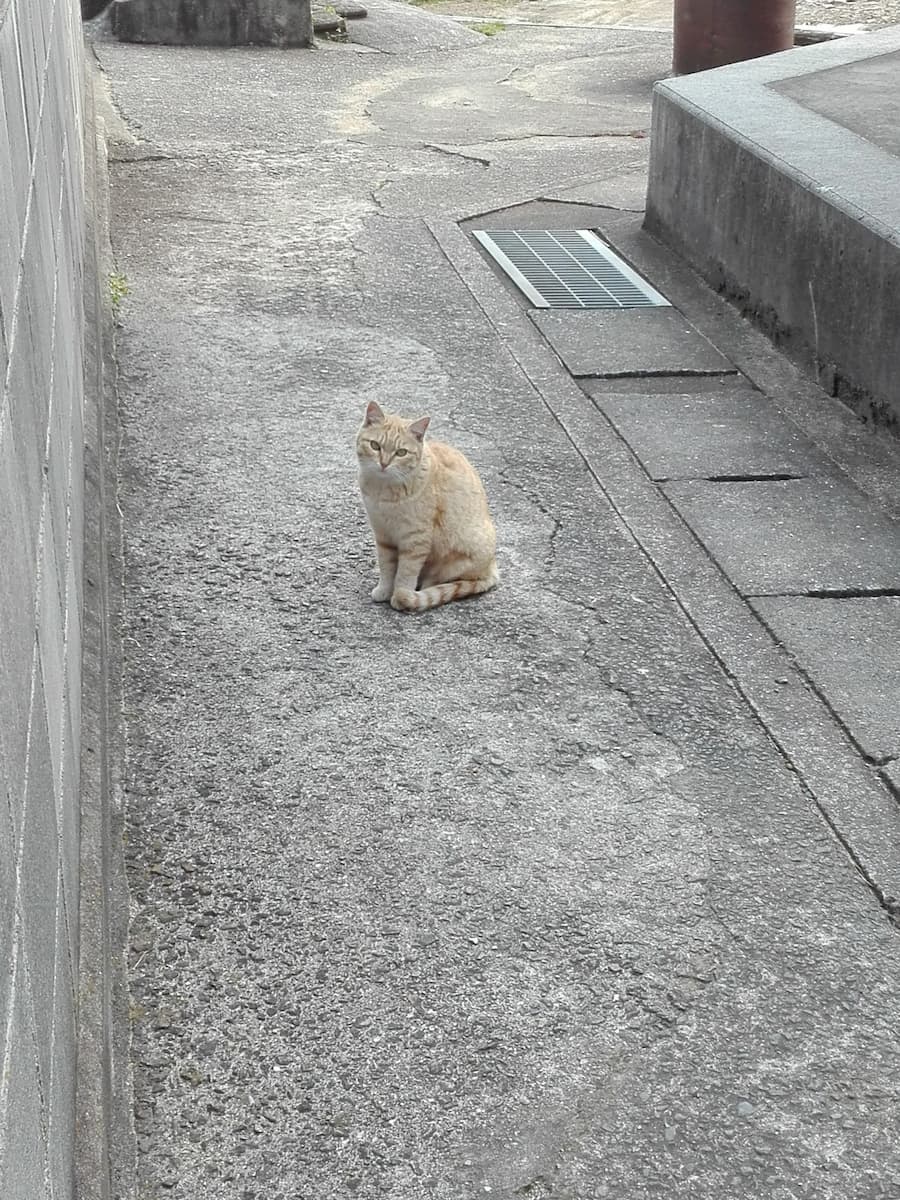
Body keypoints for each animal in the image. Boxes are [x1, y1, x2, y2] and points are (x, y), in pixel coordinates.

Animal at [357, 403, 501, 614]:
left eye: (401, 452)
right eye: (375, 446)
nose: (384, 464)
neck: (384, 491)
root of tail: (492, 568)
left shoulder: (415, 540)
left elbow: (405, 573)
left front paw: (400, 595)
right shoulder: (383, 535)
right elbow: (387, 568)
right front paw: (384, 589)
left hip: (453, 563)